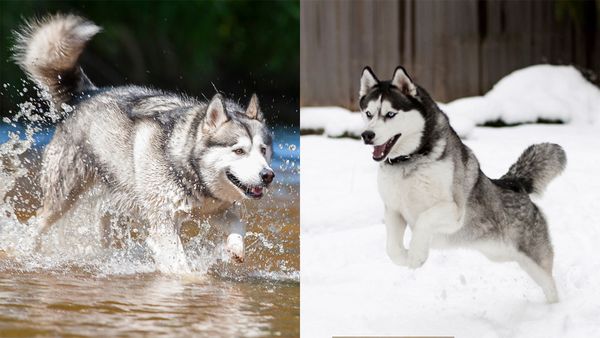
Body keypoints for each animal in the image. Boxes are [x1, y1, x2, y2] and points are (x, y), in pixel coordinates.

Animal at [12, 14, 274, 272]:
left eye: (263, 150)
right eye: (239, 151)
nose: (268, 175)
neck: (187, 166)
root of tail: (87, 94)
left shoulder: (217, 211)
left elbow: (239, 226)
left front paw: (235, 249)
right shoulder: (164, 221)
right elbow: (180, 265)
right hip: (63, 195)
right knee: (38, 223)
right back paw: (26, 251)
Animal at [358, 66, 564, 304]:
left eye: (390, 114)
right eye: (368, 114)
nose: (367, 135)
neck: (408, 162)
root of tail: (514, 182)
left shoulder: (453, 211)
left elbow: (424, 220)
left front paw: (418, 255)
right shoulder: (394, 210)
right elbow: (392, 249)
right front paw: (407, 257)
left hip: (532, 259)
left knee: (550, 284)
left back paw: (553, 307)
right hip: (500, 253)